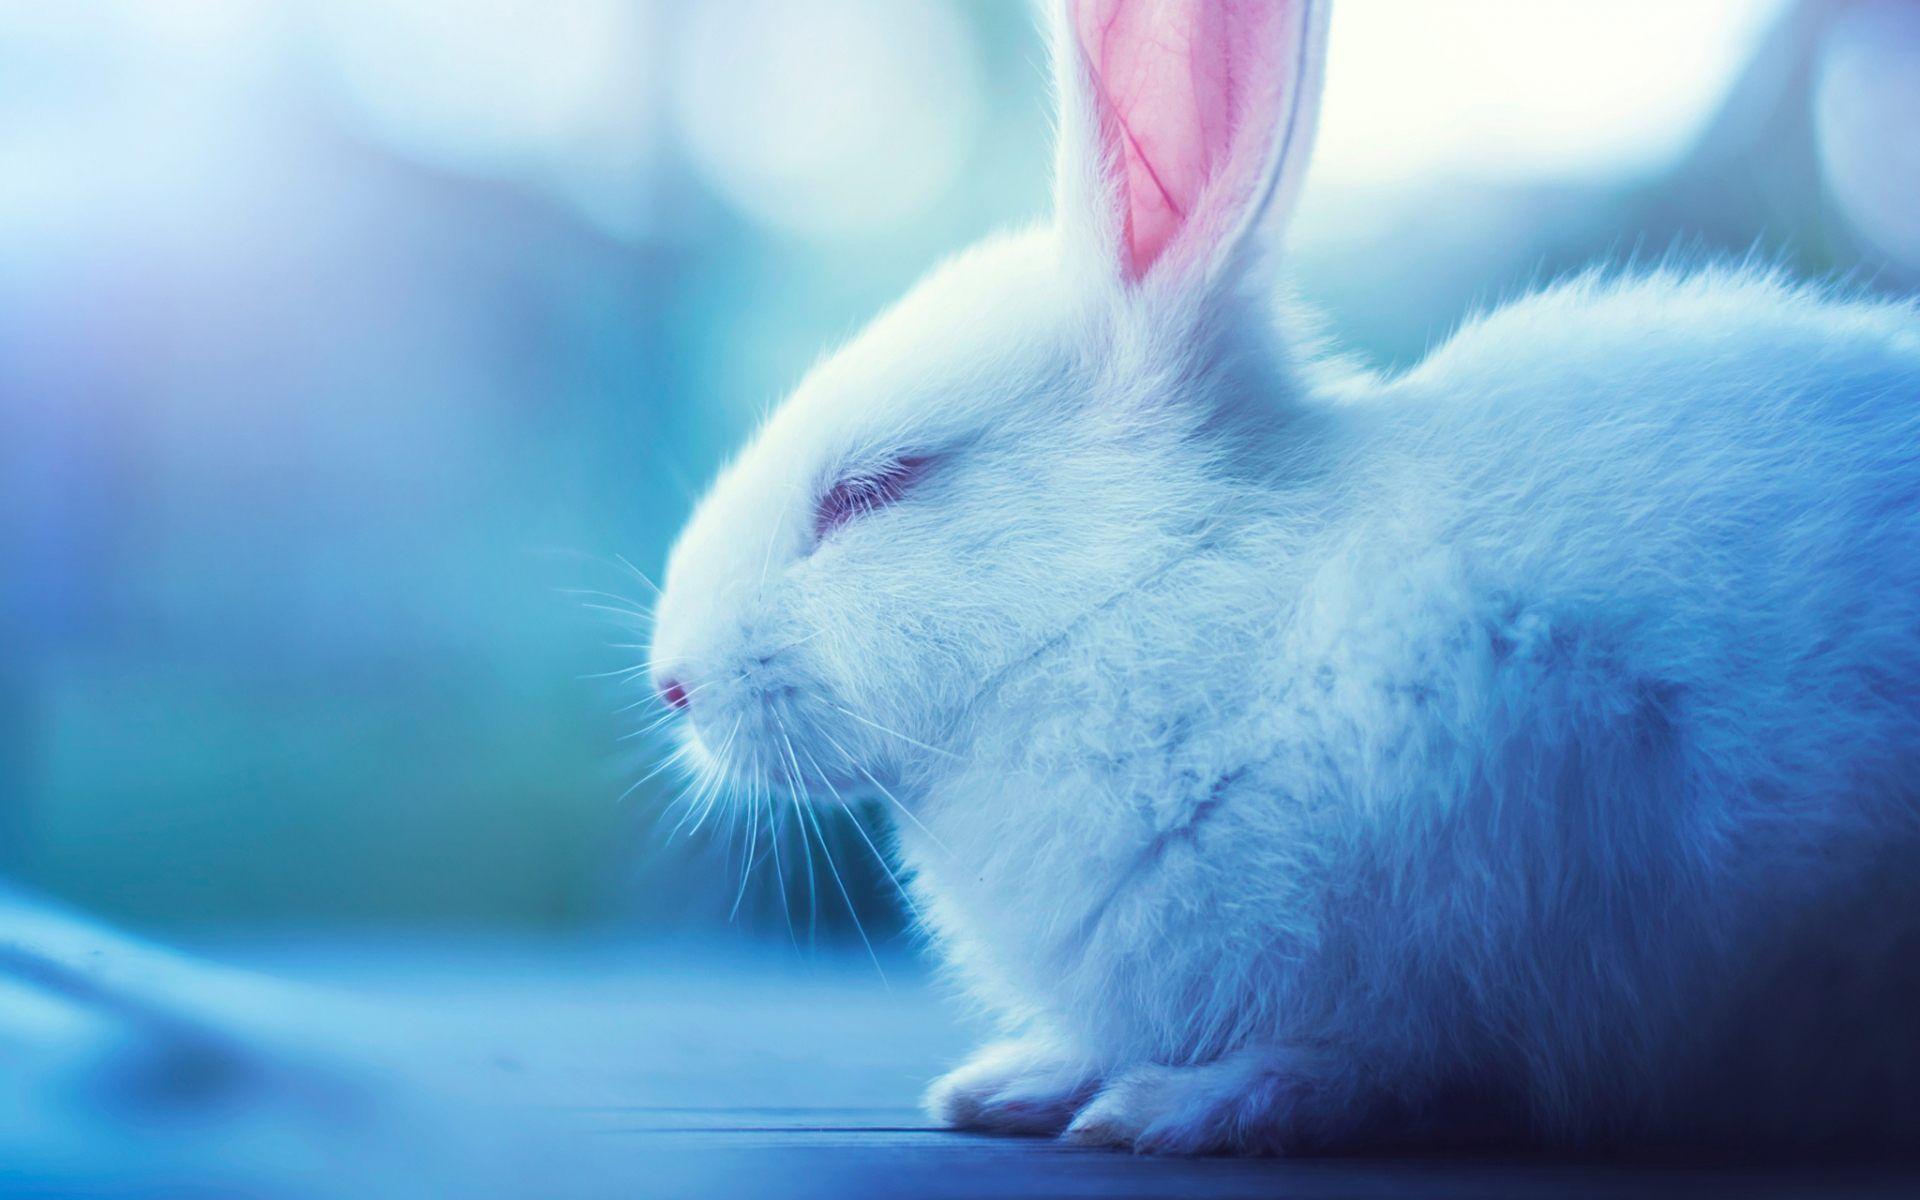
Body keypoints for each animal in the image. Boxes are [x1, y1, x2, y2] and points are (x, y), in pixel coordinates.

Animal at [647, 0, 1920, 1156]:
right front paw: (1013, 1082)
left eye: (879, 486)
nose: (671, 683)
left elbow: (1381, 1064)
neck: (1144, 595)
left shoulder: (1485, 917)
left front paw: (1179, 1110)